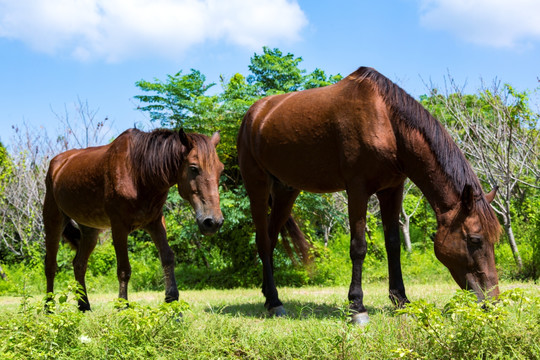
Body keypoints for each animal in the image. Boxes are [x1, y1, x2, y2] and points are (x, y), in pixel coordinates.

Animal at [43, 128, 225, 310]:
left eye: (220, 169)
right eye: (194, 168)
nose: (213, 222)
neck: (139, 173)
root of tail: (57, 164)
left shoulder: (155, 222)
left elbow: (167, 257)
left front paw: (172, 302)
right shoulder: (119, 227)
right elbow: (124, 269)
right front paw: (123, 306)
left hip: (89, 230)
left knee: (79, 264)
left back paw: (84, 305)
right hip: (53, 221)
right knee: (50, 266)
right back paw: (48, 307)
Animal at [238, 67, 500, 324]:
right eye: (475, 240)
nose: (492, 302)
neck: (386, 122)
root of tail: (254, 114)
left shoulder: (392, 190)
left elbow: (393, 244)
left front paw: (401, 300)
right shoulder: (357, 189)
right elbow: (358, 247)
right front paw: (357, 307)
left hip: (286, 192)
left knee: (271, 239)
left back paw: (268, 296)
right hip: (257, 186)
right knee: (263, 241)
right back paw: (275, 302)